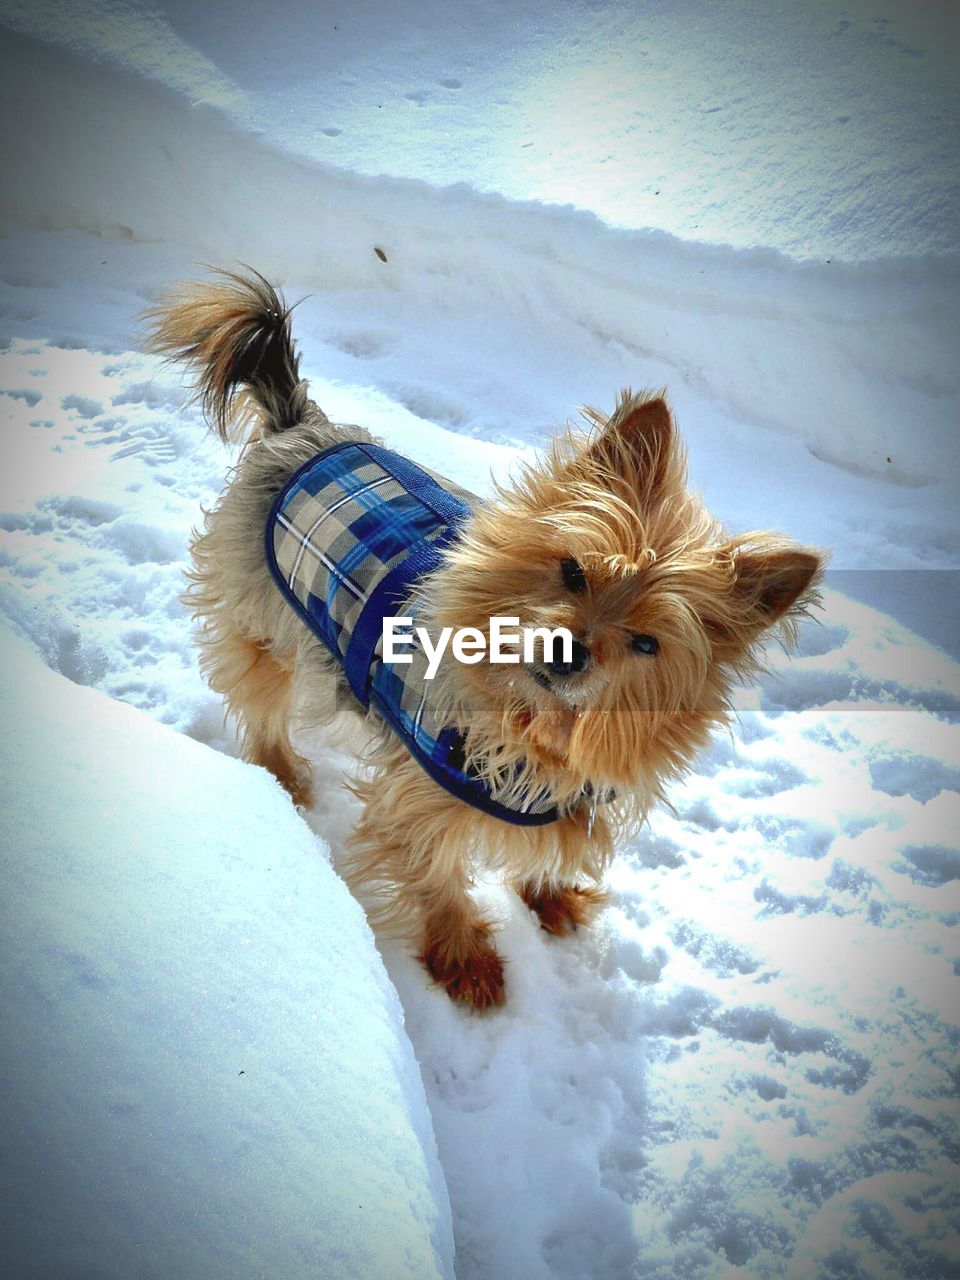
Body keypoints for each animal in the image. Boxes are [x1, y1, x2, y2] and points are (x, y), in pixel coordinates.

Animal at [144, 272, 829, 1008]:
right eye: (573, 570)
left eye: (647, 644)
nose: (565, 650)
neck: (535, 729)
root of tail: (305, 428)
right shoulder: (420, 795)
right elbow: (435, 873)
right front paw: (465, 961)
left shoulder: (566, 801)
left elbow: (552, 856)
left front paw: (550, 899)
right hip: (261, 619)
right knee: (262, 700)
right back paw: (283, 779)